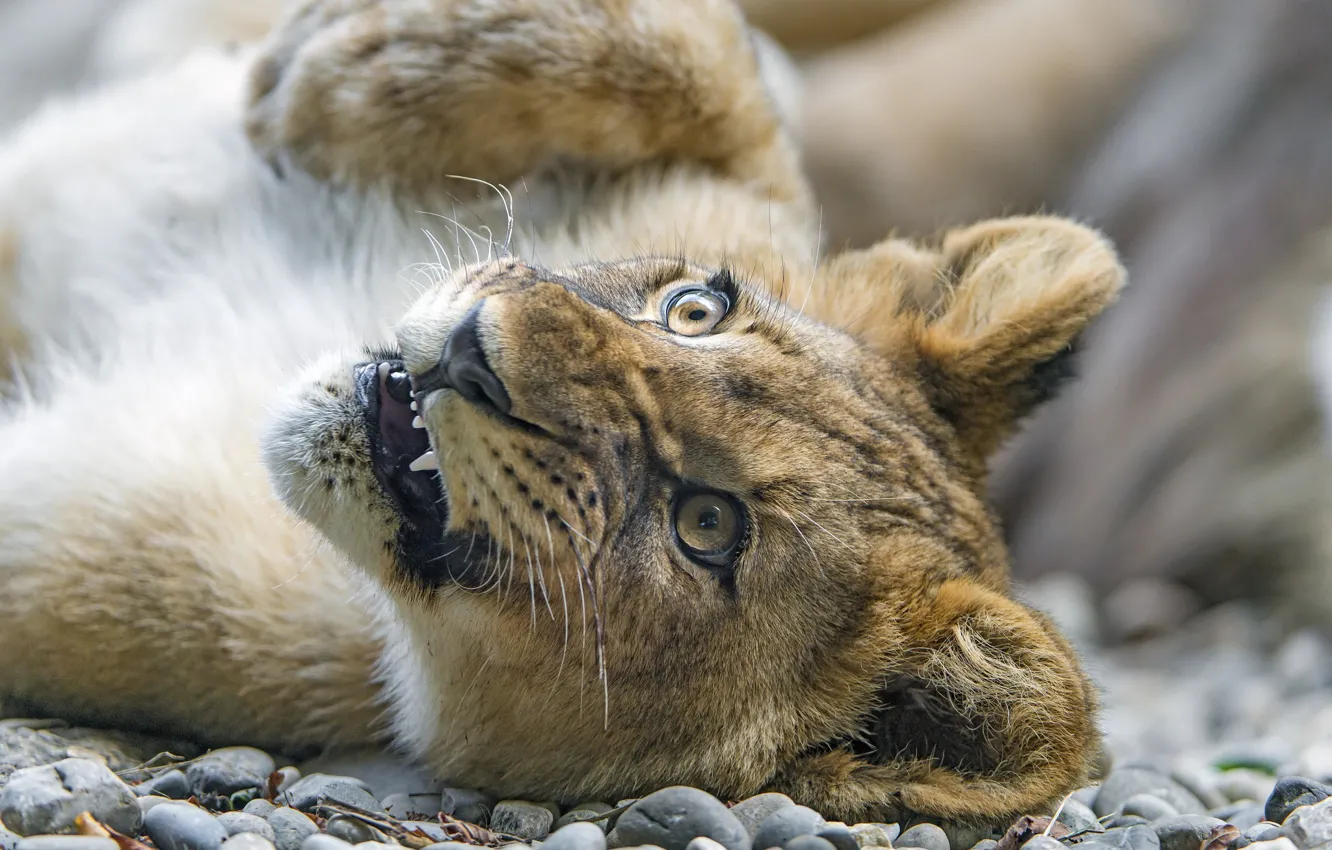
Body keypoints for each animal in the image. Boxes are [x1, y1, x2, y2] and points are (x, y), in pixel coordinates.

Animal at [0, 0, 1122, 827]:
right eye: (696, 308)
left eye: (707, 527)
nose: (472, 354)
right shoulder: (747, 177)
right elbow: (713, 65)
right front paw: (331, 70)